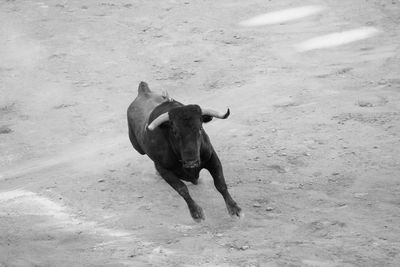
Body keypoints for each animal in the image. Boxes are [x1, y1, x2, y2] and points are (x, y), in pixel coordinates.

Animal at [126, 81, 242, 222]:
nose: (191, 162)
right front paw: (196, 213)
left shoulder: (211, 157)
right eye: (175, 131)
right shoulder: (164, 170)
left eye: (200, 128)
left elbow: (220, 183)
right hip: (137, 147)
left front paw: (234, 209)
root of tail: (143, 91)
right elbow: (182, 189)